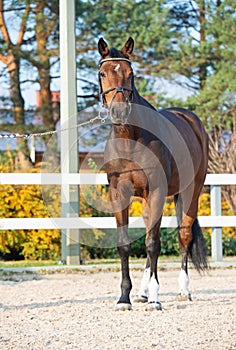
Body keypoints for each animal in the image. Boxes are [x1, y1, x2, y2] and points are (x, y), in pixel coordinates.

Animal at [98, 37, 208, 312]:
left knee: (183, 236)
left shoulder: (157, 191)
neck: (131, 140)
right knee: (151, 228)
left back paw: (183, 291)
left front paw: (156, 299)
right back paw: (142, 291)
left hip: (191, 192)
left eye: (131, 73)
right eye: (103, 73)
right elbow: (125, 243)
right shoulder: (119, 193)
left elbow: (153, 244)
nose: (119, 112)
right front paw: (124, 298)